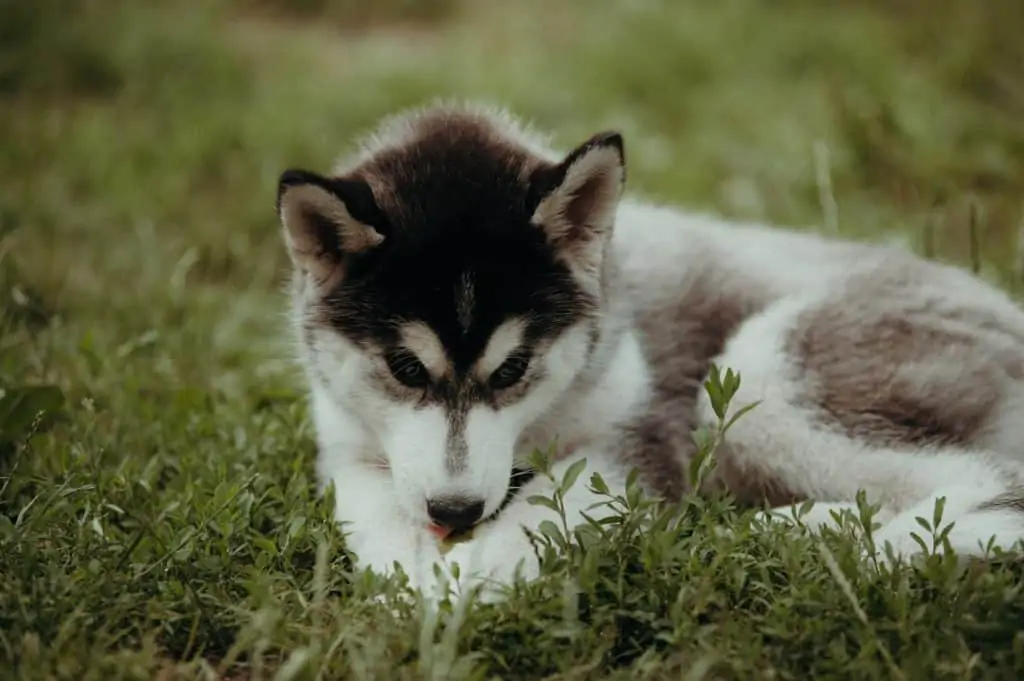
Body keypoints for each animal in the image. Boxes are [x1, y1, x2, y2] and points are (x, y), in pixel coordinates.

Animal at [276, 99, 1024, 602]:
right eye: (404, 369)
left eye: (514, 368)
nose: (456, 513)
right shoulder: (348, 444)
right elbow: (375, 515)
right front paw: (417, 587)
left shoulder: (638, 433)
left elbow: (548, 508)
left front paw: (481, 576)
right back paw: (791, 529)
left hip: (760, 376)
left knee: (994, 481)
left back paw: (844, 546)